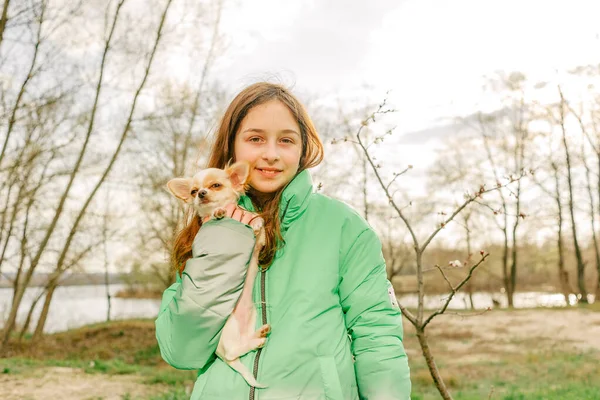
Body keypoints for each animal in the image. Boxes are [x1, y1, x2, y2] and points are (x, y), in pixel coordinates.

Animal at [169, 161, 272, 390]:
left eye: (215, 185)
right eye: (193, 191)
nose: (201, 194)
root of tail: (222, 353)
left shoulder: (259, 242)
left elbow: (257, 224)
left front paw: (256, 223)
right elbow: (217, 214)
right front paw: (218, 211)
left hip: (249, 318)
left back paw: (257, 336)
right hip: (227, 329)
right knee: (233, 352)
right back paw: (256, 340)